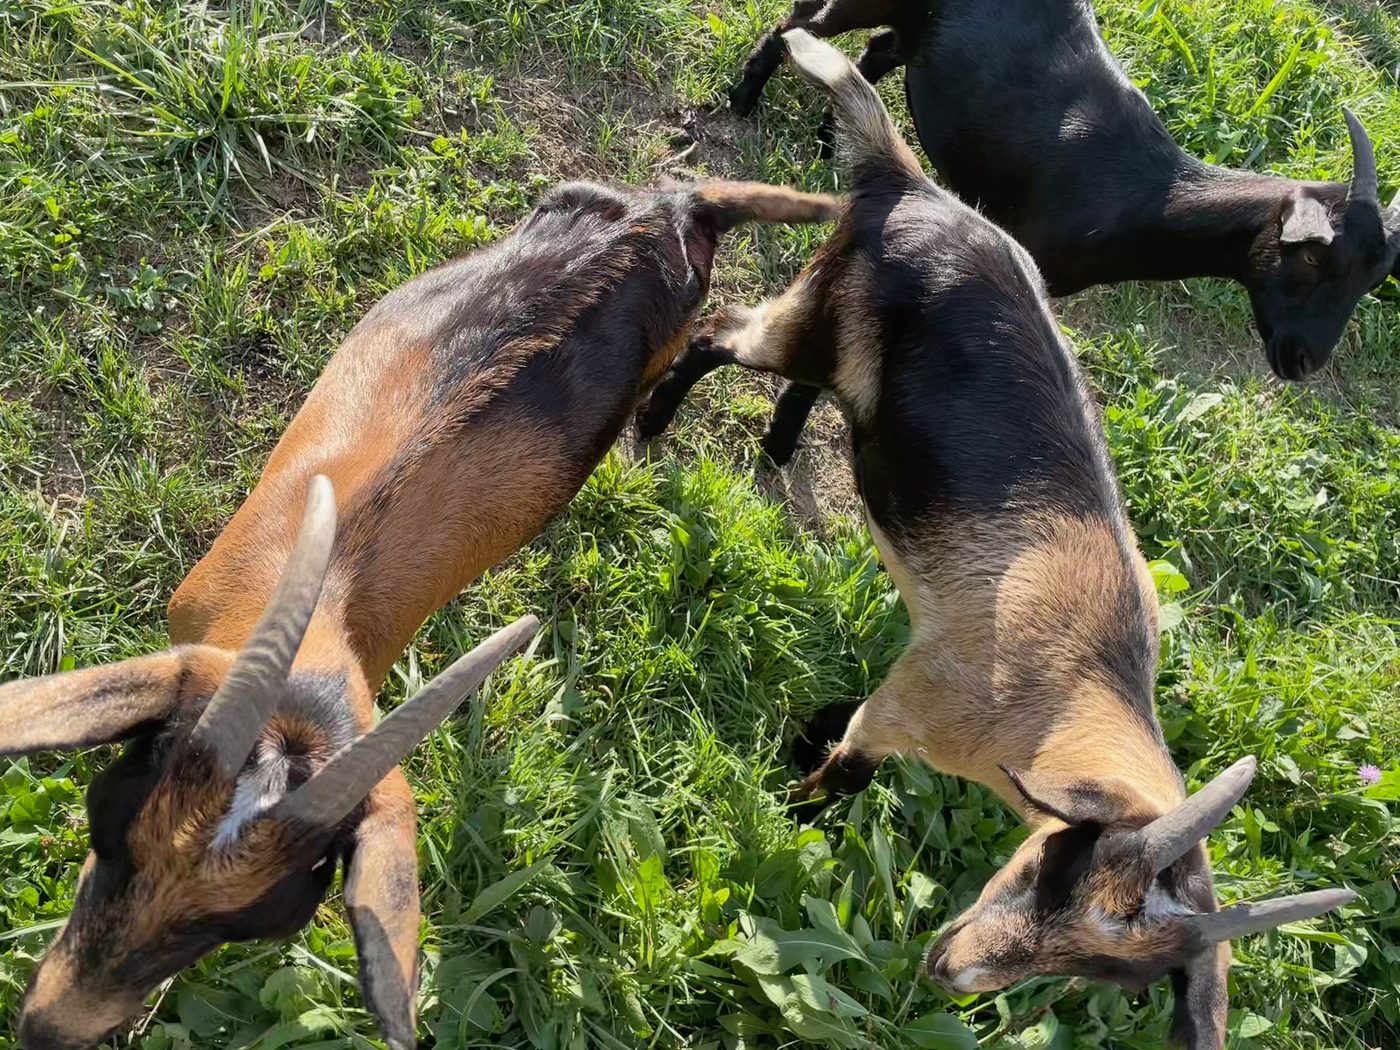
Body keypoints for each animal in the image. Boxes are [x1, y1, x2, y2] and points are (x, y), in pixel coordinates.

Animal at [636, 32, 1355, 1048]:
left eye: (1111, 975)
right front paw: (789, 803)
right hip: (808, 317)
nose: (952, 973)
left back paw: (778, 446)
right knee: (719, 334)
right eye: (1058, 872)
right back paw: (654, 425)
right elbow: (846, 772)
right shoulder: (910, 704)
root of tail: (907, 183)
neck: (1063, 694)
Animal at [705, 0, 1400, 465]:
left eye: (1372, 281)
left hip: (913, 34)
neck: (1139, 192)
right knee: (797, 25)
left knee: (874, 49)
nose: (1304, 359)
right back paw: (744, 99)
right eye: (1312, 257)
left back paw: (830, 141)